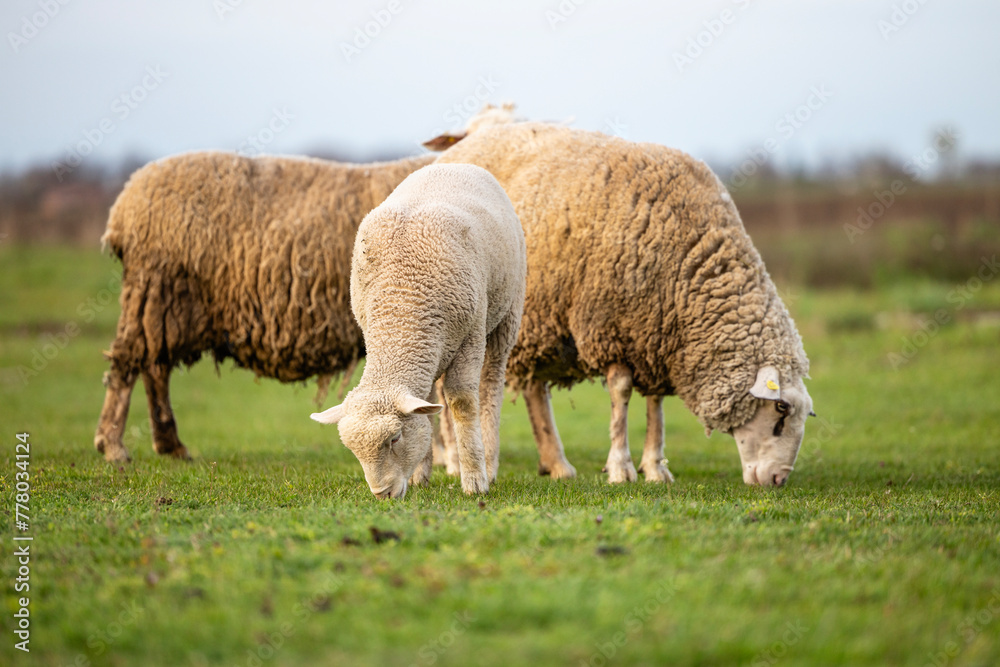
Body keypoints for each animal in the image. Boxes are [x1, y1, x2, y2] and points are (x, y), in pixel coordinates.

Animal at [310, 162, 532, 498]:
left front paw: (474, 480)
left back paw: (489, 464)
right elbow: (426, 406)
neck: (401, 308)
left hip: (507, 315)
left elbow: (462, 402)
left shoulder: (471, 335)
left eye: (395, 438)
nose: (382, 494)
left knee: (491, 385)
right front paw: (419, 476)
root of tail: (455, 165)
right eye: (354, 452)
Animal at [428, 118, 812, 486]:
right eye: (781, 408)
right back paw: (455, 462)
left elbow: (656, 406)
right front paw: (620, 467)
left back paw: (556, 463)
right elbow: (621, 395)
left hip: (540, 324)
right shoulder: (611, 326)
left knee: (535, 391)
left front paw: (655, 467)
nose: (778, 479)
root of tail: (461, 147)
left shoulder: (655, 336)